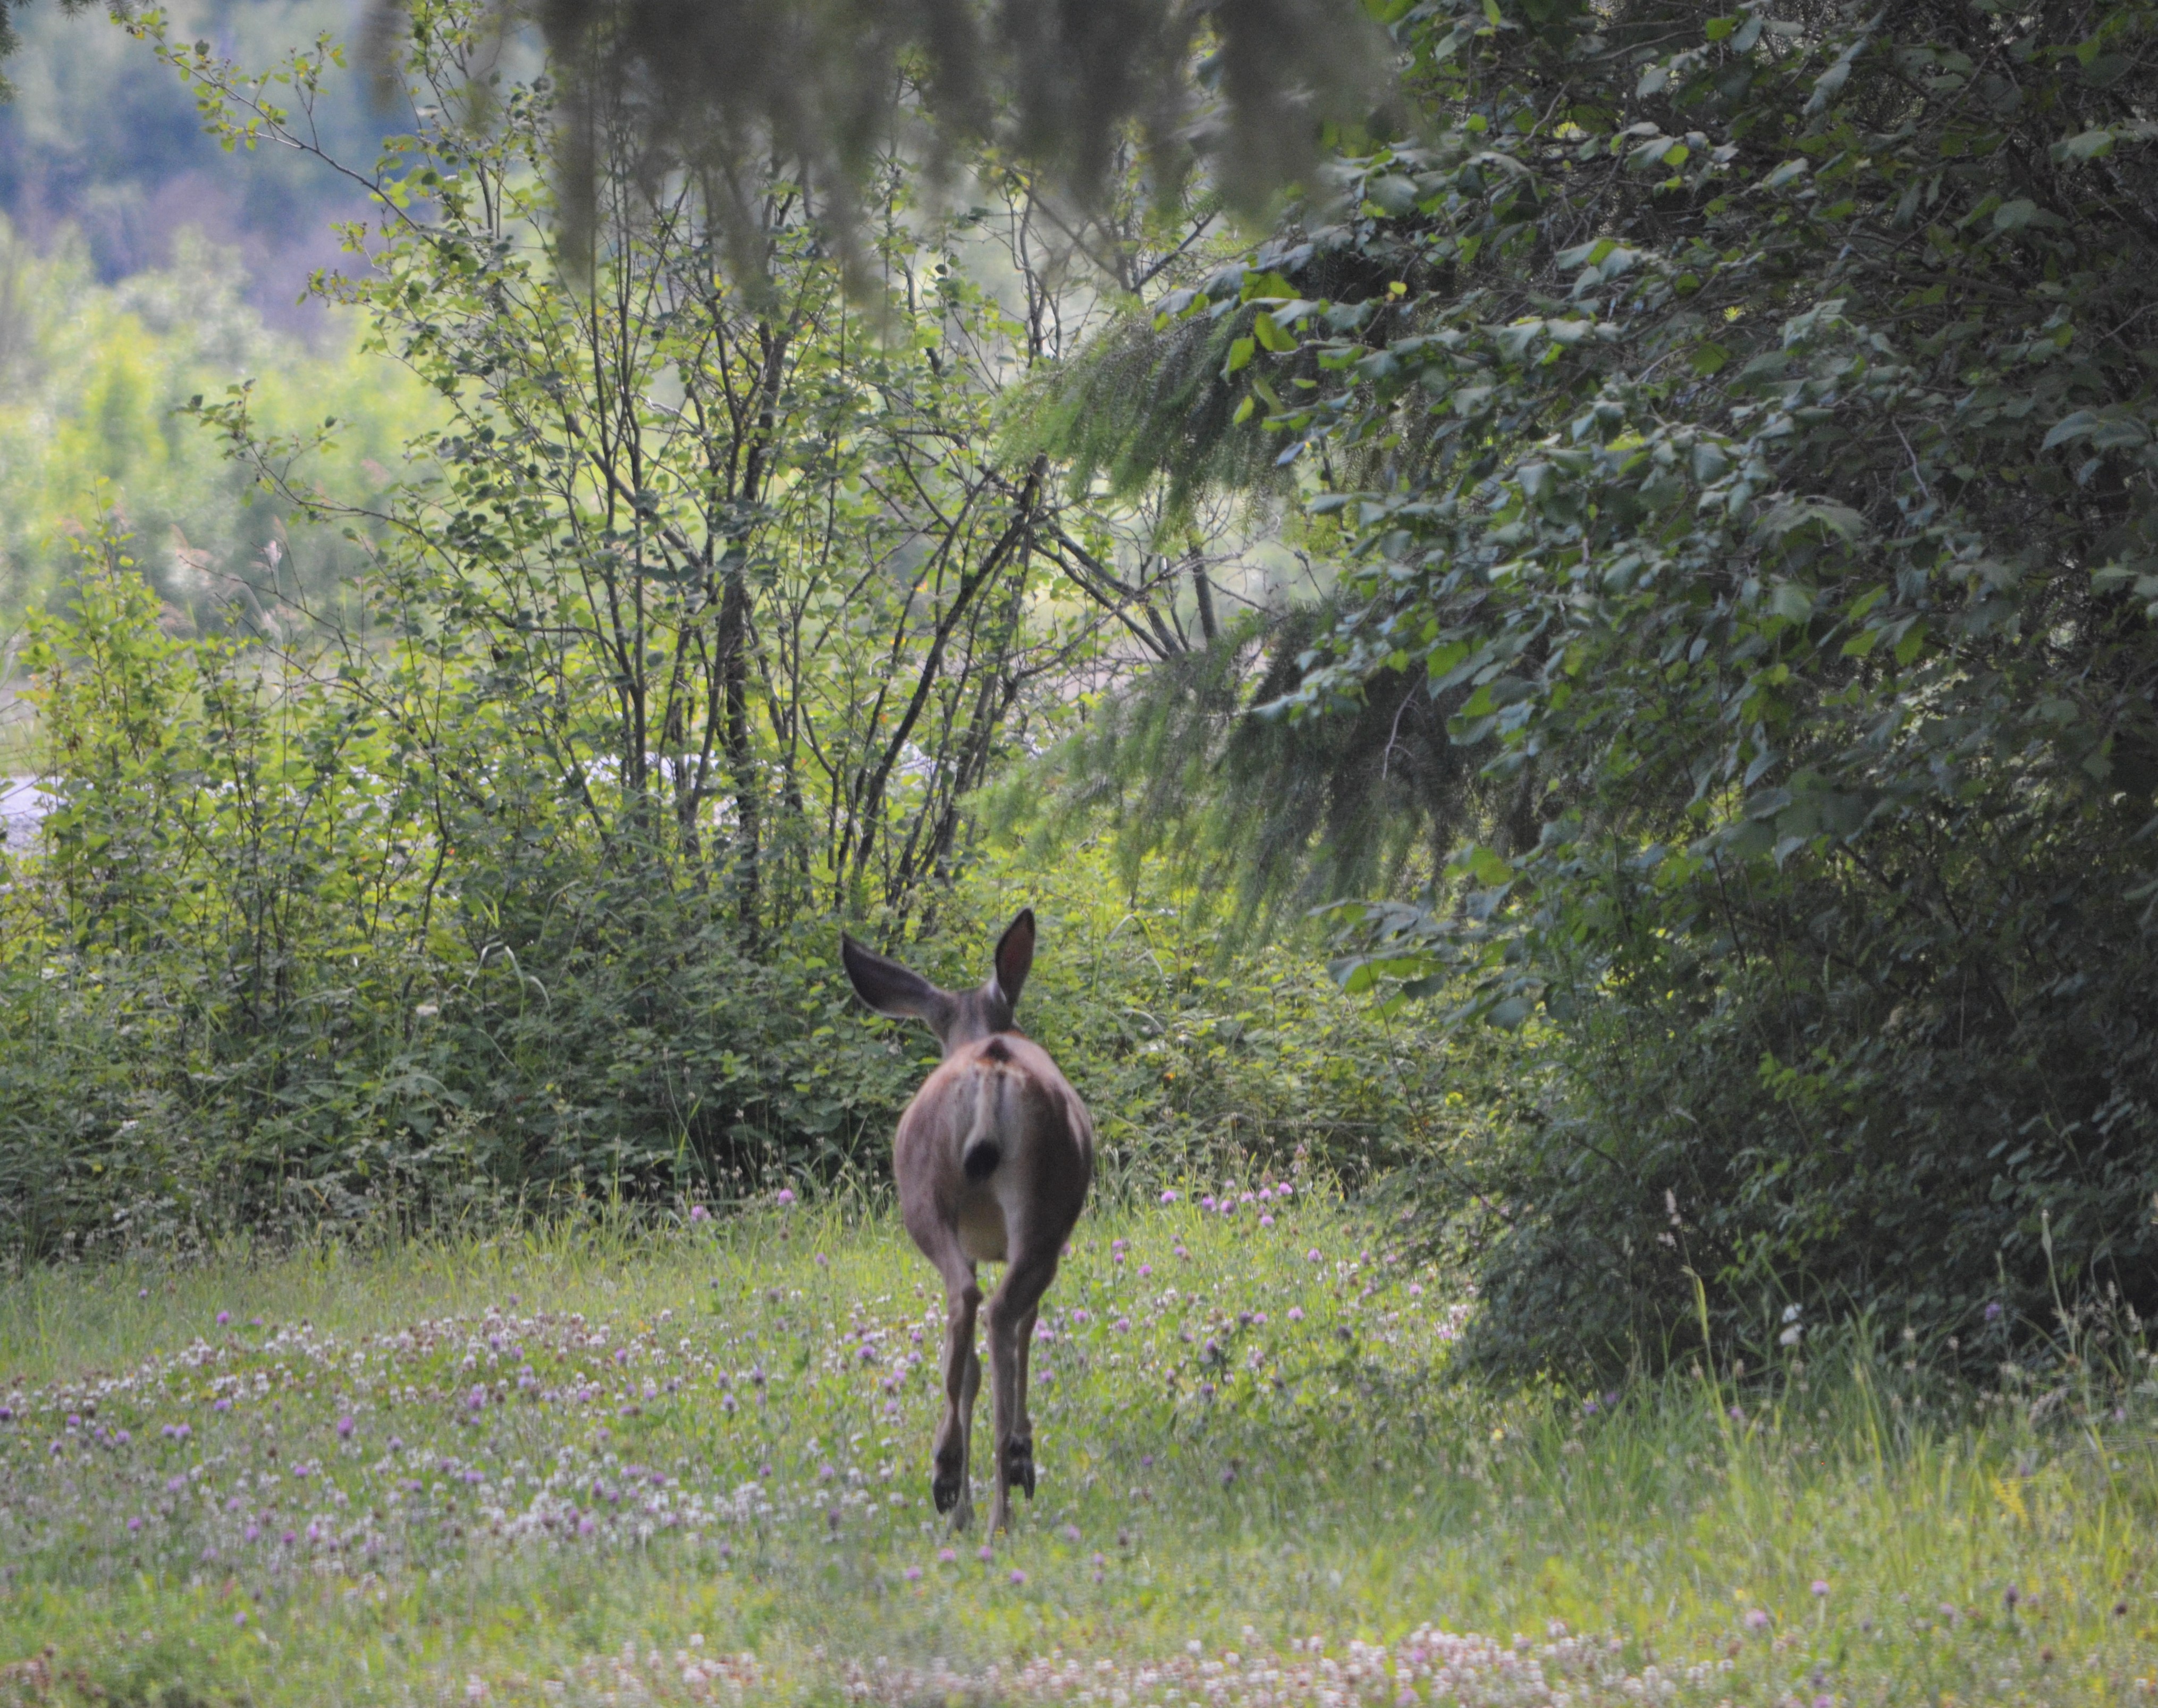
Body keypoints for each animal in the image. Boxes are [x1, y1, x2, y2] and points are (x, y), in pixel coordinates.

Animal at [840, 908, 1093, 1536]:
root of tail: (990, 1064)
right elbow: (1027, 1332)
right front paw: (1020, 1457)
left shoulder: (976, 1243)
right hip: (1043, 1212)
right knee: (1002, 1318)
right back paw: (1003, 1489)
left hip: (927, 1198)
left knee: (965, 1306)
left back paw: (951, 1477)